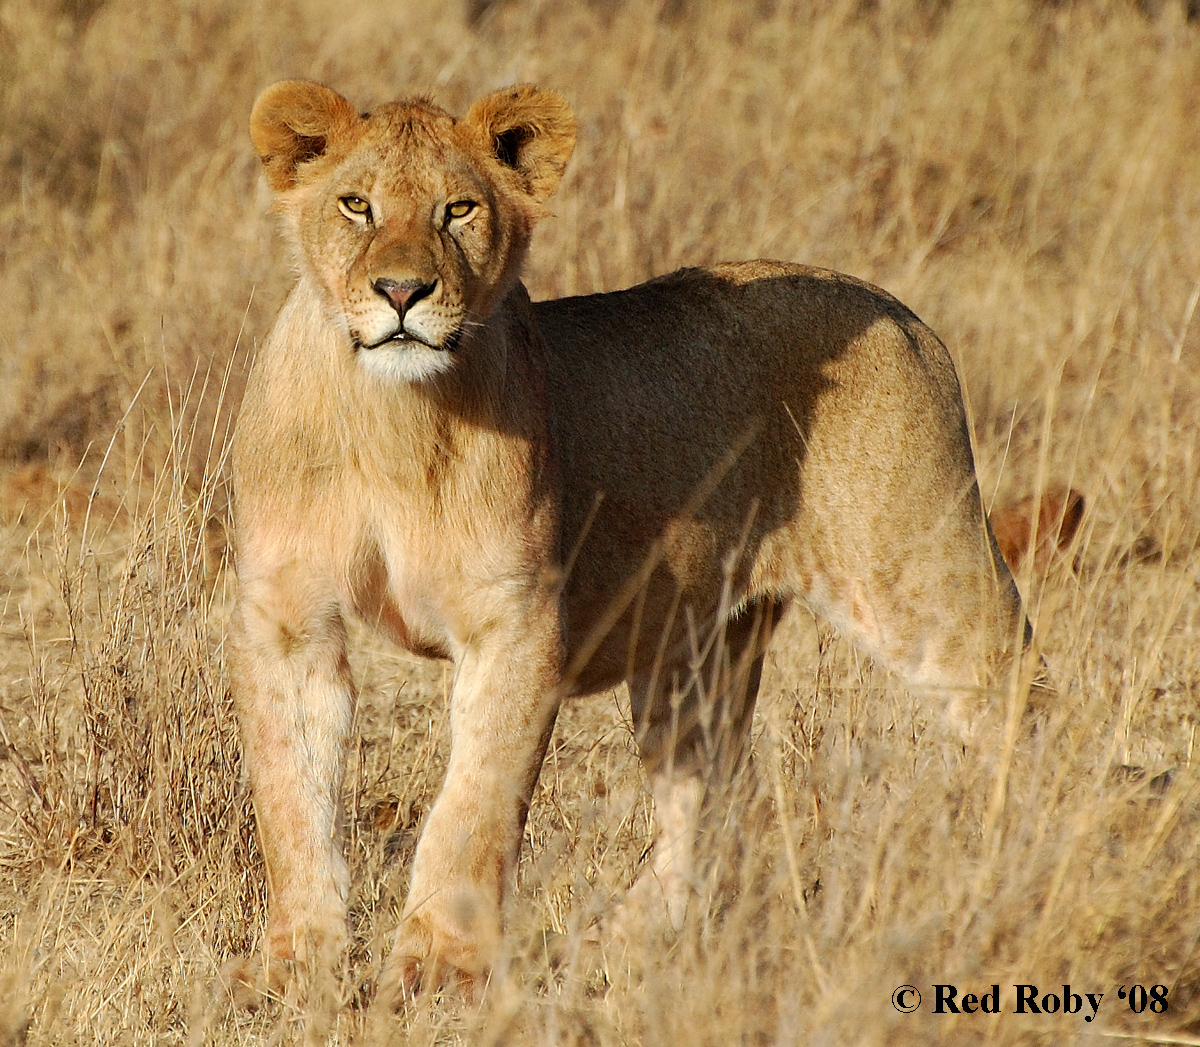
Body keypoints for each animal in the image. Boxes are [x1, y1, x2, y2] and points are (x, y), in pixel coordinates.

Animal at [231, 77, 1032, 1008]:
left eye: (459, 209)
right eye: (355, 204)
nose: (402, 292)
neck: (391, 416)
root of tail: (906, 315)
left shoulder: (519, 623)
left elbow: (472, 806)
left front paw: (439, 969)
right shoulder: (287, 620)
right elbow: (291, 799)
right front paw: (295, 963)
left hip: (918, 580)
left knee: (1020, 697)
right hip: (694, 652)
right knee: (713, 796)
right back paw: (621, 937)